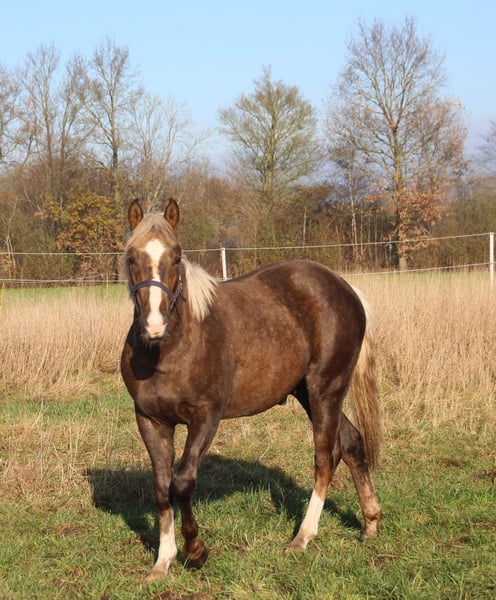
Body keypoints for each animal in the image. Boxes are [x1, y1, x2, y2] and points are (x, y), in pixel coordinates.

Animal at [120, 198, 382, 581]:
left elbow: (182, 481)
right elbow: (161, 486)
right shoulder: (150, 420)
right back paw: (370, 522)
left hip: (326, 389)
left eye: (177, 257)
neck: (169, 349)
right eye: (130, 258)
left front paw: (195, 551)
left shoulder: (206, 418)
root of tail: (346, 289)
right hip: (307, 392)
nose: (154, 324)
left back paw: (303, 536)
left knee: (324, 457)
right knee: (350, 443)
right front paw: (162, 561)